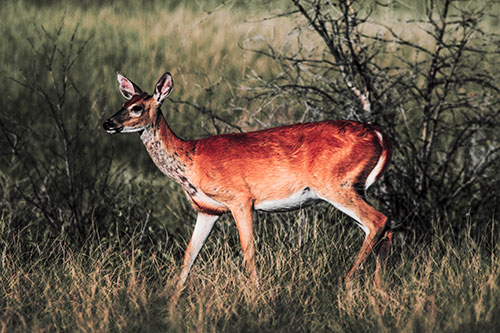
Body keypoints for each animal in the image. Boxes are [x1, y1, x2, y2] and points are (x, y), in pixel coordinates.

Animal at [103, 70, 392, 290]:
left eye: (137, 108)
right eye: (122, 103)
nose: (107, 123)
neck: (191, 161)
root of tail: (379, 135)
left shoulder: (240, 198)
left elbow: (248, 250)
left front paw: (254, 295)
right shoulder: (207, 209)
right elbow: (189, 255)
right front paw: (171, 301)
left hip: (336, 185)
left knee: (378, 220)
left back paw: (346, 281)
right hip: (352, 188)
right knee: (383, 228)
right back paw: (378, 291)